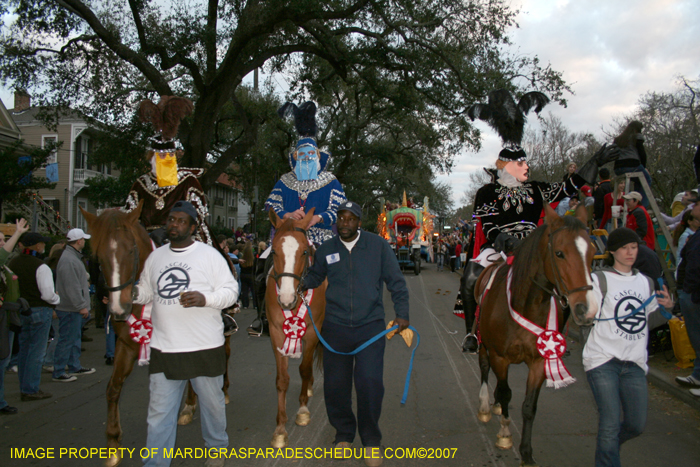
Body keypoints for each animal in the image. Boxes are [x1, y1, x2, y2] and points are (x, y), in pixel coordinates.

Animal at [79, 204, 232, 467]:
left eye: (131, 250)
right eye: (97, 257)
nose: (118, 308)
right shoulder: (127, 345)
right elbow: (113, 388)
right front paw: (112, 444)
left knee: (223, 358)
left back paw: (220, 394)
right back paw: (189, 405)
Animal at [476, 206, 596, 467]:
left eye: (592, 253)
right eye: (559, 253)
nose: (587, 309)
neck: (524, 304)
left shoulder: (540, 361)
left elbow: (529, 406)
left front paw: (526, 454)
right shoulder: (500, 357)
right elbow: (505, 392)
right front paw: (505, 435)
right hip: (482, 343)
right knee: (484, 368)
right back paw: (485, 406)